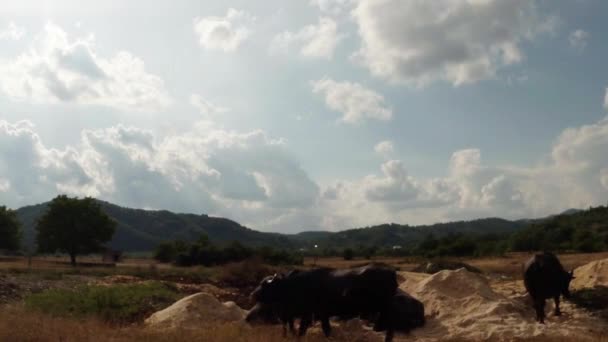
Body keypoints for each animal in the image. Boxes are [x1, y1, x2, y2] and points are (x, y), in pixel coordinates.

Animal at [246, 266, 400, 340]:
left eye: (264, 285)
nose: (252, 295)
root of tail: (391, 272)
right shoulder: (321, 315)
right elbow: (326, 330)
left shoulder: (308, 315)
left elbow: (301, 331)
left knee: (390, 331)